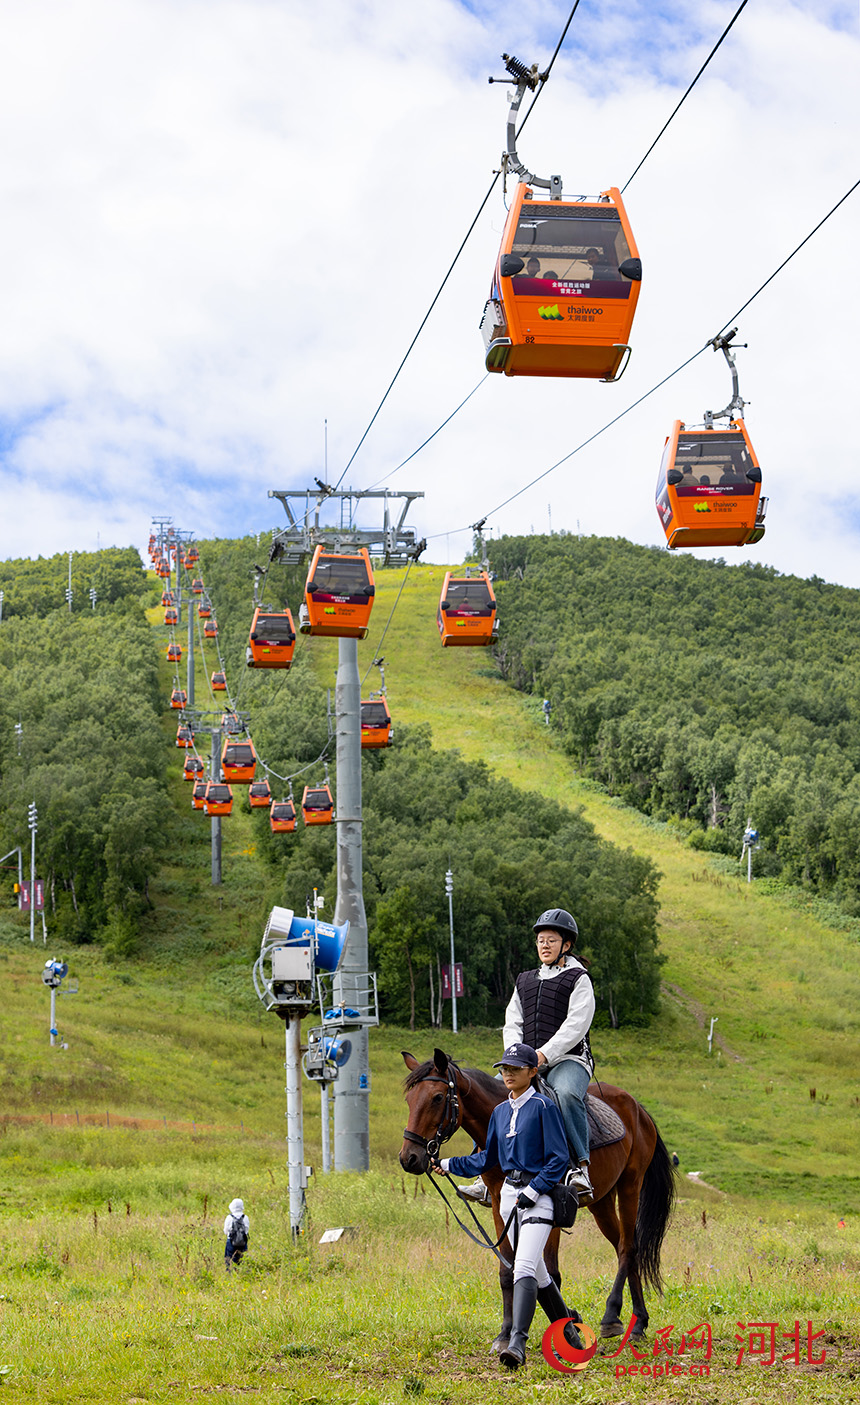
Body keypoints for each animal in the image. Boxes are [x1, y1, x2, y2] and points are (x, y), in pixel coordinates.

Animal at [399, 1056, 674, 1348]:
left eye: (438, 1097)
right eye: (409, 1099)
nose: (409, 1158)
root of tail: (638, 1109)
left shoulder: (552, 1206)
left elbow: (552, 1273)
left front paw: (565, 1328)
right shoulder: (499, 1203)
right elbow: (507, 1270)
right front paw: (506, 1333)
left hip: (631, 1186)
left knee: (627, 1248)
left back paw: (613, 1316)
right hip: (602, 1203)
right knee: (626, 1247)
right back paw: (639, 1322)